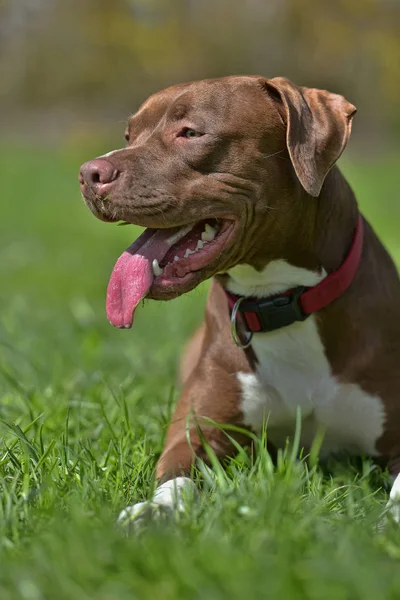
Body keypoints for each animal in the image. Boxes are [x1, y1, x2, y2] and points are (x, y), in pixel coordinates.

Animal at [79, 77, 400, 524]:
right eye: (129, 136)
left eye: (190, 133)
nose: (89, 174)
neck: (280, 299)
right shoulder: (197, 435)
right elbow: (175, 477)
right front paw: (152, 512)